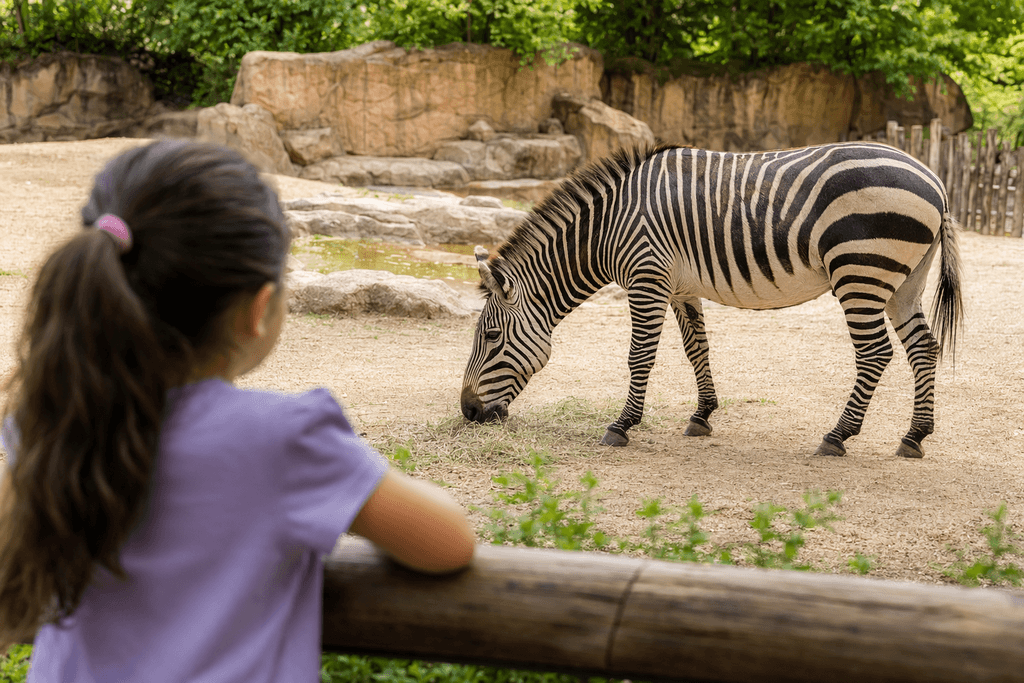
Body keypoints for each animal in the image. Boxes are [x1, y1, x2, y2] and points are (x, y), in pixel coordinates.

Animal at [460, 142, 963, 458]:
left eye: (491, 336)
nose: (467, 412)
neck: (606, 230)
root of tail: (936, 182)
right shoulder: (680, 286)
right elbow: (696, 348)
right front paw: (702, 415)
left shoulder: (646, 277)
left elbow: (640, 355)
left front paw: (621, 425)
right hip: (904, 281)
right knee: (923, 347)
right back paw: (915, 436)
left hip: (860, 270)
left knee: (875, 352)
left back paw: (837, 436)